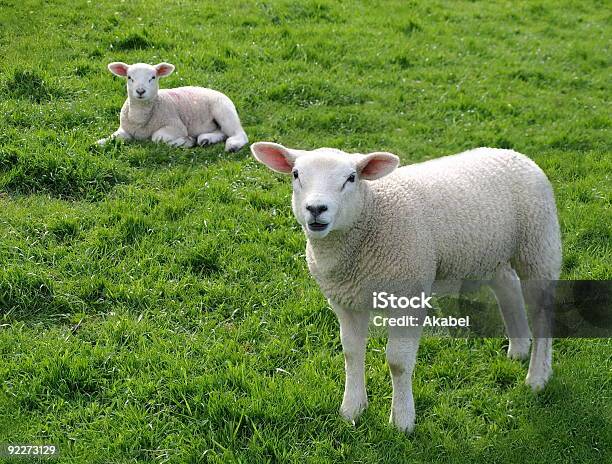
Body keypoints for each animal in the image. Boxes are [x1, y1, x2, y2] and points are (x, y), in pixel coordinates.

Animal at [97, 61, 247, 151]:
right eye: (129, 77)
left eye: (153, 77)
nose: (140, 91)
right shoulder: (125, 129)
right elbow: (114, 137)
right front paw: (102, 142)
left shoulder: (176, 126)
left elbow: (157, 137)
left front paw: (187, 141)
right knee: (221, 131)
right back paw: (206, 139)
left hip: (224, 111)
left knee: (239, 133)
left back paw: (233, 145)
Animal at [251, 143, 560, 434]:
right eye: (296, 174)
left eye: (351, 178)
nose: (316, 209)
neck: (370, 216)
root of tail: (514, 154)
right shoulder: (346, 301)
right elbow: (351, 351)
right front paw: (352, 409)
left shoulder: (407, 297)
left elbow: (397, 362)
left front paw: (401, 421)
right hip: (491, 254)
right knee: (507, 285)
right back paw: (519, 348)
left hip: (539, 246)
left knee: (543, 314)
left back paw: (537, 377)